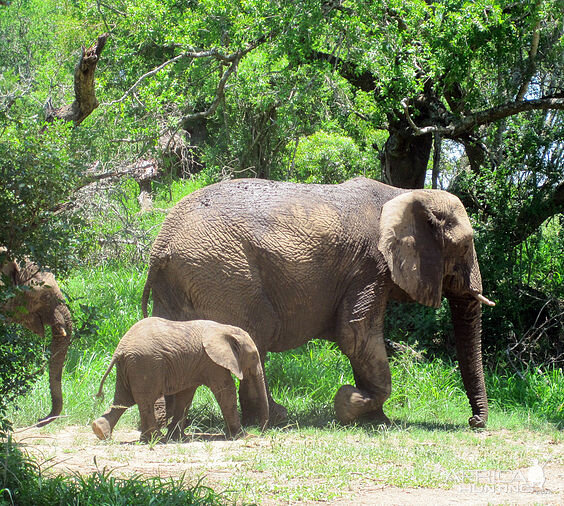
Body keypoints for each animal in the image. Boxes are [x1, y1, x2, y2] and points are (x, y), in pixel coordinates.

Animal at [92, 316, 268, 442]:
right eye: (254, 356)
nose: (261, 430)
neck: (226, 328)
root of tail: (119, 350)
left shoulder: (193, 365)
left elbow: (186, 396)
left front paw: (178, 438)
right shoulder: (212, 362)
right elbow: (226, 391)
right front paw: (244, 437)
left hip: (130, 367)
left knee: (123, 399)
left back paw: (101, 431)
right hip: (145, 364)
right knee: (145, 400)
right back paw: (157, 439)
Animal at [141, 177, 494, 426]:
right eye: (465, 246)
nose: (474, 421)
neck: (405, 193)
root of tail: (160, 246)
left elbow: (358, 340)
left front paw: (376, 421)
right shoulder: (370, 267)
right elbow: (356, 336)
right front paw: (348, 404)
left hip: (182, 280)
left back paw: (170, 423)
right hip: (223, 272)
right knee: (257, 331)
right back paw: (271, 419)